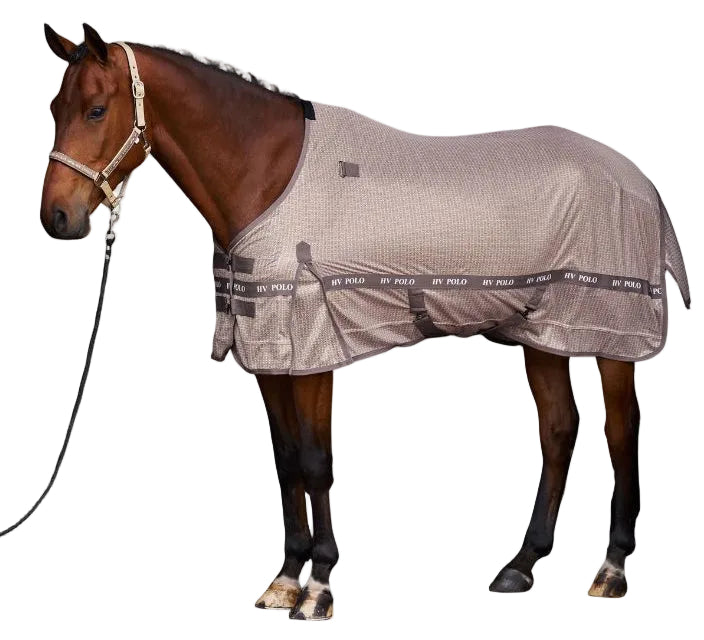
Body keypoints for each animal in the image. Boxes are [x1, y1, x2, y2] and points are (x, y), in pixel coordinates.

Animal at [40, 24, 690, 620]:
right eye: (53, 108)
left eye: (96, 109)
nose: (57, 217)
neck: (268, 174)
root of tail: (640, 180)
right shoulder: (270, 356)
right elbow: (285, 462)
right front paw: (285, 577)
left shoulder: (313, 350)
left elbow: (316, 462)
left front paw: (319, 586)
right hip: (544, 333)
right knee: (558, 429)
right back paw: (521, 564)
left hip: (610, 333)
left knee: (620, 429)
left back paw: (611, 567)